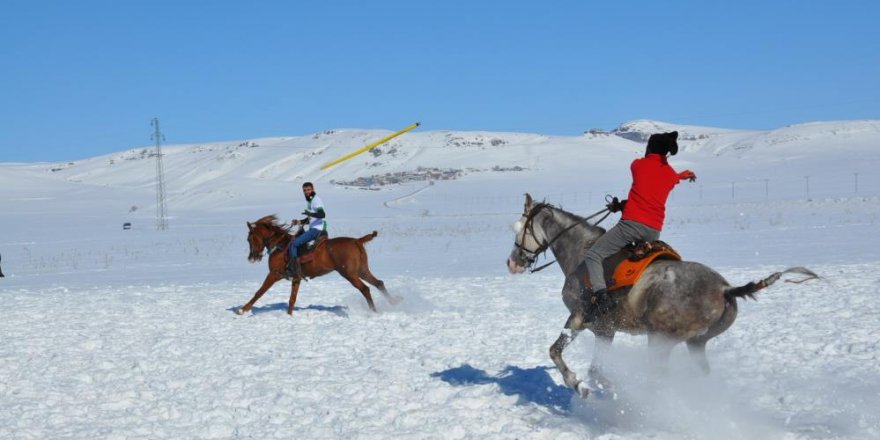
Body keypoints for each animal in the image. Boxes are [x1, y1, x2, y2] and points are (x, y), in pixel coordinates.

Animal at [237, 215, 396, 314]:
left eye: (249, 239)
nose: (252, 257)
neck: (280, 246)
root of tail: (357, 241)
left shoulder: (274, 274)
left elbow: (259, 292)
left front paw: (243, 309)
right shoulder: (296, 278)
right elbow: (292, 299)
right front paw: (289, 315)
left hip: (349, 273)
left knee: (365, 289)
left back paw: (374, 311)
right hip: (361, 270)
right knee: (378, 283)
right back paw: (394, 302)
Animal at [508, 194, 820, 398]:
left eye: (518, 228)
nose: (512, 262)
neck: (581, 252)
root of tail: (724, 289)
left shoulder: (579, 317)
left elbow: (556, 352)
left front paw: (579, 385)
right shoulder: (604, 330)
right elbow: (598, 370)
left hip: (660, 341)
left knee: (661, 379)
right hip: (696, 343)